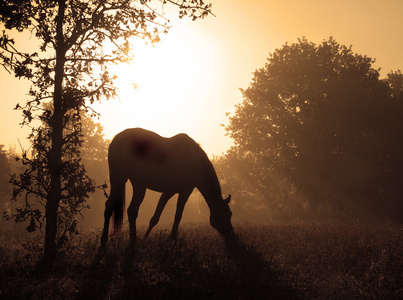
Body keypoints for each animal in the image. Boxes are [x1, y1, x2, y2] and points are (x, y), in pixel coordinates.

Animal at [100, 127, 237, 247]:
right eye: (224, 215)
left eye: (230, 214)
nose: (233, 237)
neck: (194, 162)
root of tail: (116, 139)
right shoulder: (184, 191)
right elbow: (177, 216)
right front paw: (171, 239)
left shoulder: (169, 192)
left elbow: (156, 217)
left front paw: (147, 238)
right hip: (131, 183)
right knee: (124, 208)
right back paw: (123, 241)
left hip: (128, 182)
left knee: (120, 207)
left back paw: (118, 240)